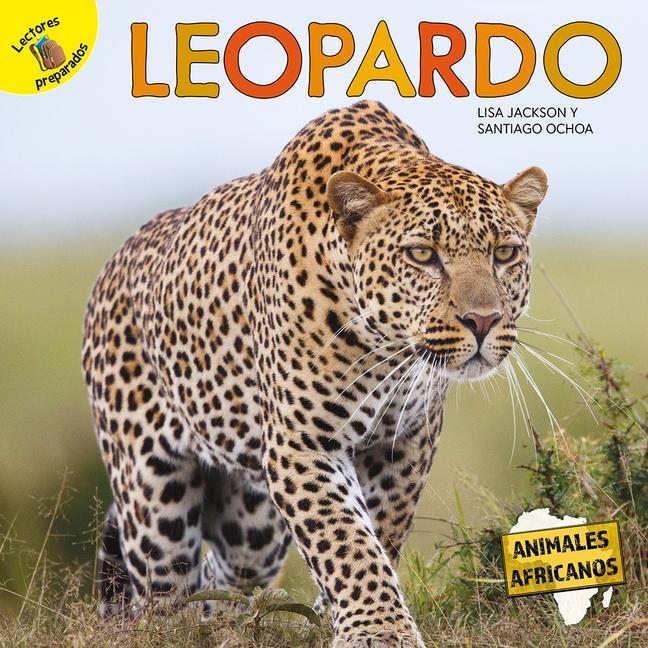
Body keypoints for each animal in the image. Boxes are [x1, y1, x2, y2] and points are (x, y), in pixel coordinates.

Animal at [82, 99, 548, 647]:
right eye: (422, 255)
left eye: (504, 253)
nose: (483, 320)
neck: (386, 348)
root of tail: (113, 263)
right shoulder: (302, 443)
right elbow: (344, 537)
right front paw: (378, 629)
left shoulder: (404, 441)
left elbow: (378, 531)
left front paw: (337, 616)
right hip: (154, 500)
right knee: (163, 595)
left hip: (252, 526)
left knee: (224, 578)